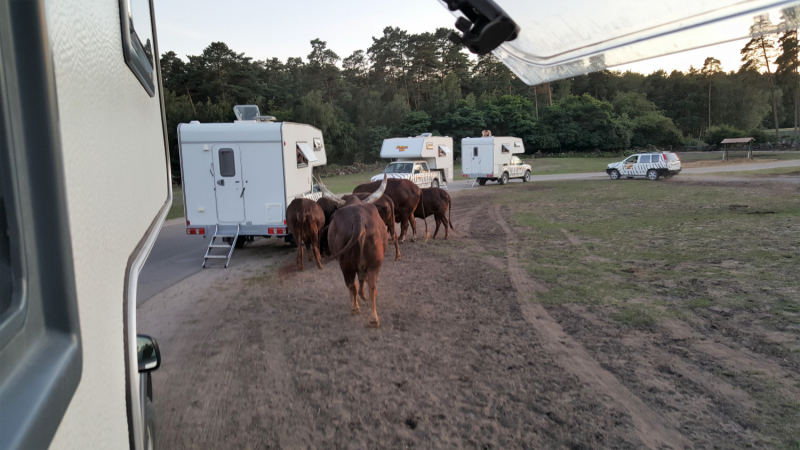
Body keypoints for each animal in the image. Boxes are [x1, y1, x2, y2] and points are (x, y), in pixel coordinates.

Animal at [320, 173, 392, 326]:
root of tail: (357, 219)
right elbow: (362, 279)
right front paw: (362, 296)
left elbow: (353, 284)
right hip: (375, 264)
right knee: (372, 287)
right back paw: (373, 318)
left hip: (346, 264)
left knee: (351, 284)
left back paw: (355, 308)